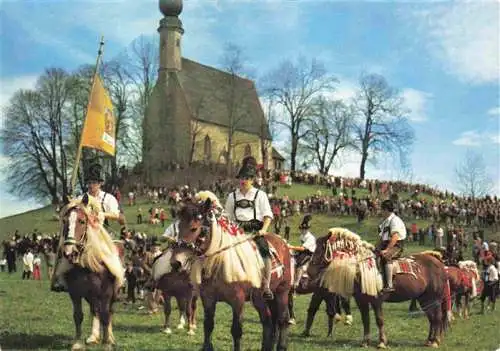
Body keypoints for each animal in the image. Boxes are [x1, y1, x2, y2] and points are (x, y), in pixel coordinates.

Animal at [50, 195, 125, 351]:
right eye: (65, 221)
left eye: (82, 221)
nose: (69, 253)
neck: (87, 265)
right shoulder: (75, 292)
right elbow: (78, 315)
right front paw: (78, 343)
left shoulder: (106, 292)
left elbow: (105, 315)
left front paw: (107, 343)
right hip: (91, 295)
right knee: (95, 310)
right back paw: (93, 337)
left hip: (111, 295)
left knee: (108, 312)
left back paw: (109, 337)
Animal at [171, 192, 292, 351]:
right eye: (179, 227)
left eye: (193, 228)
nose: (176, 262)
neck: (219, 264)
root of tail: (283, 243)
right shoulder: (208, 299)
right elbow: (208, 326)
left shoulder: (238, 301)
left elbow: (236, 330)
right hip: (261, 299)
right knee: (268, 322)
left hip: (282, 292)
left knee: (282, 320)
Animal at [306, 228, 452, 350]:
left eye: (321, 248)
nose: (309, 271)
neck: (362, 267)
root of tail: (438, 261)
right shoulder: (361, 301)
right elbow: (366, 320)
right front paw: (365, 342)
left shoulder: (376, 300)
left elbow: (379, 320)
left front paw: (382, 342)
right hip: (424, 299)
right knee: (432, 318)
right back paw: (429, 340)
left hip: (434, 298)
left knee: (437, 317)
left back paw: (435, 341)